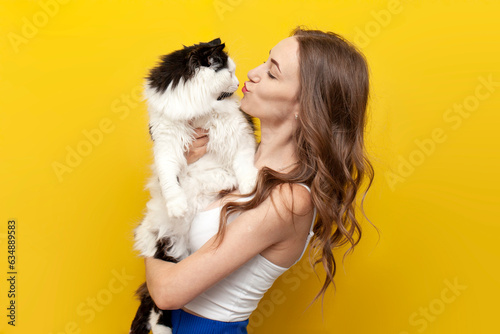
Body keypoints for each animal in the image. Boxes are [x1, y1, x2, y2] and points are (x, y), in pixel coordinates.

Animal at [130, 39, 258, 334]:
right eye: (228, 72)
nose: (239, 83)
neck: (199, 109)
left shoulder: (239, 131)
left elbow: (244, 163)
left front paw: (249, 185)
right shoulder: (166, 139)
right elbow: (169, 178)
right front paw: (177, 204)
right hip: (164, 243)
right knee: (156, 304)